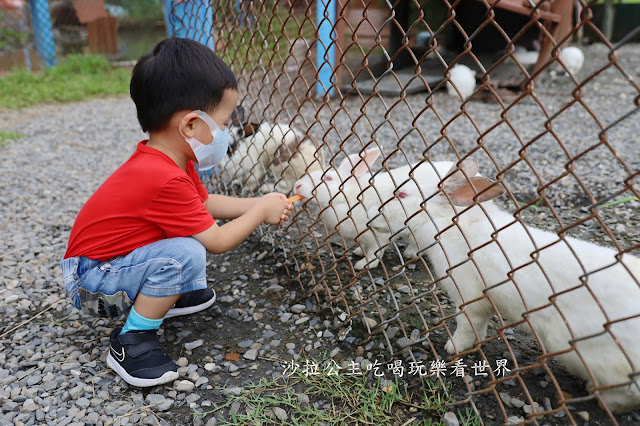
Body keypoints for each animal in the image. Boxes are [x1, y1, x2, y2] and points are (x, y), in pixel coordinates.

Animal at [370, 156, 640, 412]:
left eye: (402, 194)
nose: (372, 217)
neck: (453, 226)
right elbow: (479, 327)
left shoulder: (469, 298)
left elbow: (466, 325)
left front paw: (453, 348)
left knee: (625, 395)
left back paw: (602, 399)